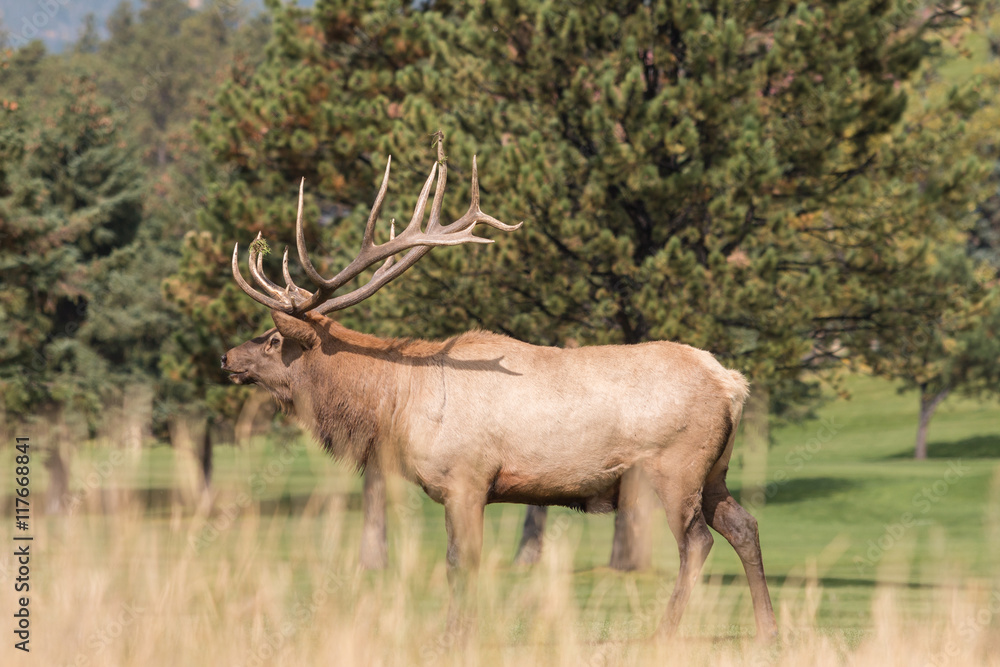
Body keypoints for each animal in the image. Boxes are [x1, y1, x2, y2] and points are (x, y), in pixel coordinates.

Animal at [220, 134, 777, 640]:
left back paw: (666, 632)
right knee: (745, 526)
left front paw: (454, 636)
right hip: (714, 470)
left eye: (273, 340)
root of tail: (732, 384)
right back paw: (767, 631)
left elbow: (458, 562)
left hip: (675, 466)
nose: (226, 357)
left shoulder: (467, 477)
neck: (395, 405)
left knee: (697, 542)